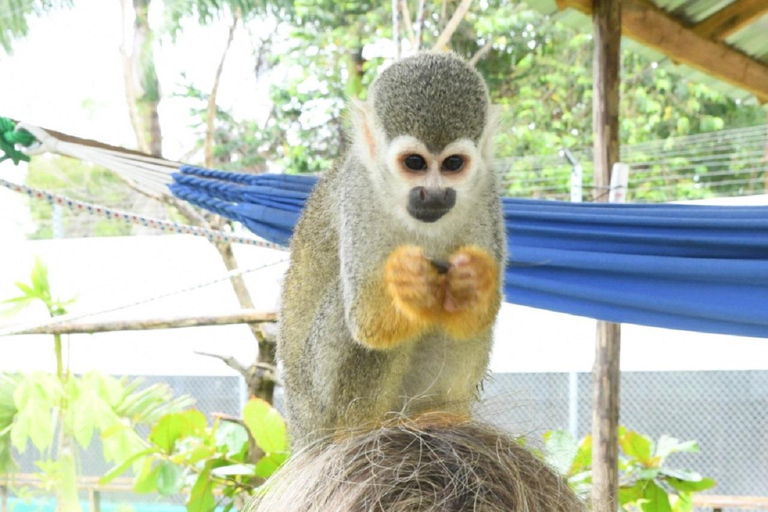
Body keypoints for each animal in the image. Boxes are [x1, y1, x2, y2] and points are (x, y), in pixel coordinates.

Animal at [278, 52, 506, 449]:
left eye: (453, 164)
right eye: (414, 163)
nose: (433, 194)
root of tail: (301, 433)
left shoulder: (486, 192)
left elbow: (476, 315)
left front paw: (474, 279)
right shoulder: (358, 193)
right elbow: (367, 322)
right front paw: (409, 282)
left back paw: (442, 416)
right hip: (317, 396)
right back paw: (358, 429)